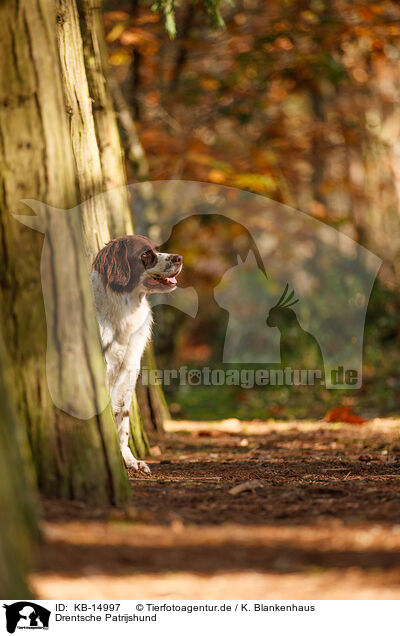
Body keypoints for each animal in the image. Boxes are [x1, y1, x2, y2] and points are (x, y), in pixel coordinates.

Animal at [91, 235, 183, 472]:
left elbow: (122, 422)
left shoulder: (128, 372)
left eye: (157, 249)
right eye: (145, 253)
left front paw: (129, 460)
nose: (179, 258)